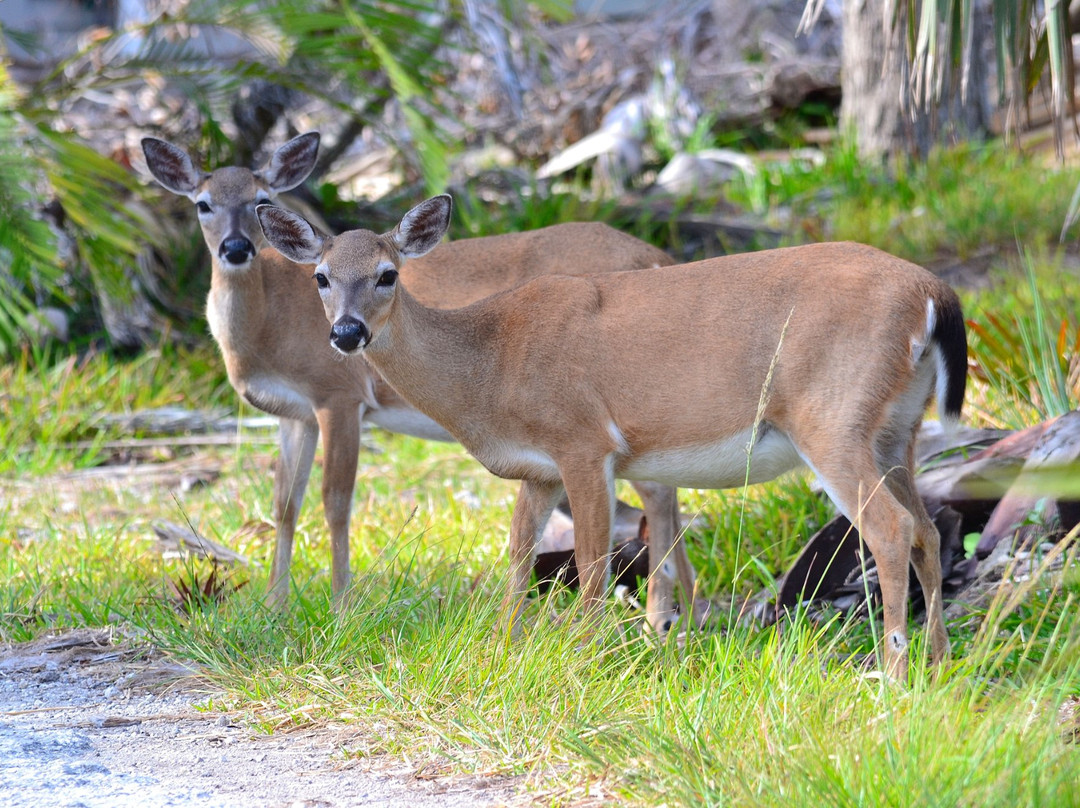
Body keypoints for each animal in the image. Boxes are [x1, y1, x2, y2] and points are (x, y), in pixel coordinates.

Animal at [139, 133, 695, 630]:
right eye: (203, 204)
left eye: (261, 198)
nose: (235, 247)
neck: (265, 327)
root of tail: (657, 255)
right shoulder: (294, 412)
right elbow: (284, 504)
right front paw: (274, 609)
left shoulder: (340, 395)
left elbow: (335, 501)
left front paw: (341, 610)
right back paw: (679, 612)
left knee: (656, 492)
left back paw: (662, 618)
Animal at [259, 194, 972, 674]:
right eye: (321, 277)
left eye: (388, 274)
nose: (347, 333)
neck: (490, 363)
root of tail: (934, 292)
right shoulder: (538, 469)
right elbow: (518, 557)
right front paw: (504, 653)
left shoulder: (584, 442)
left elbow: (592, 566)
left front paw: (582, 663)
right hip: (896, 430)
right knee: (929, 528)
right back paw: (937, 664)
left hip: (831, 418)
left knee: (889, 528)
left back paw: (893, 674)